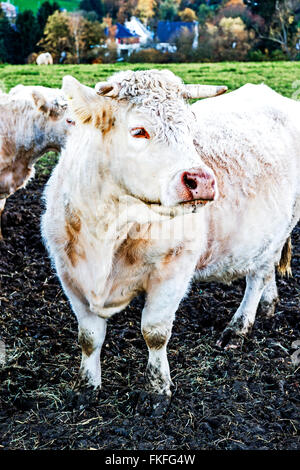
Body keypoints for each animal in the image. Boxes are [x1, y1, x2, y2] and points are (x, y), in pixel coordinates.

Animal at [41, 70, 300, 404]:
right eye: (139, 131)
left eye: (190, 130)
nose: (202, 180)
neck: (108, 229)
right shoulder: (69, 272)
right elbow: (88, 337)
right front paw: (87, 387)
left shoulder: (174, 267)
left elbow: (154, 331)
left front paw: (157, 389)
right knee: (265, 272)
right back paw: (268, 305)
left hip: (285, 223)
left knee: (257, 277)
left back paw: (238, 328)